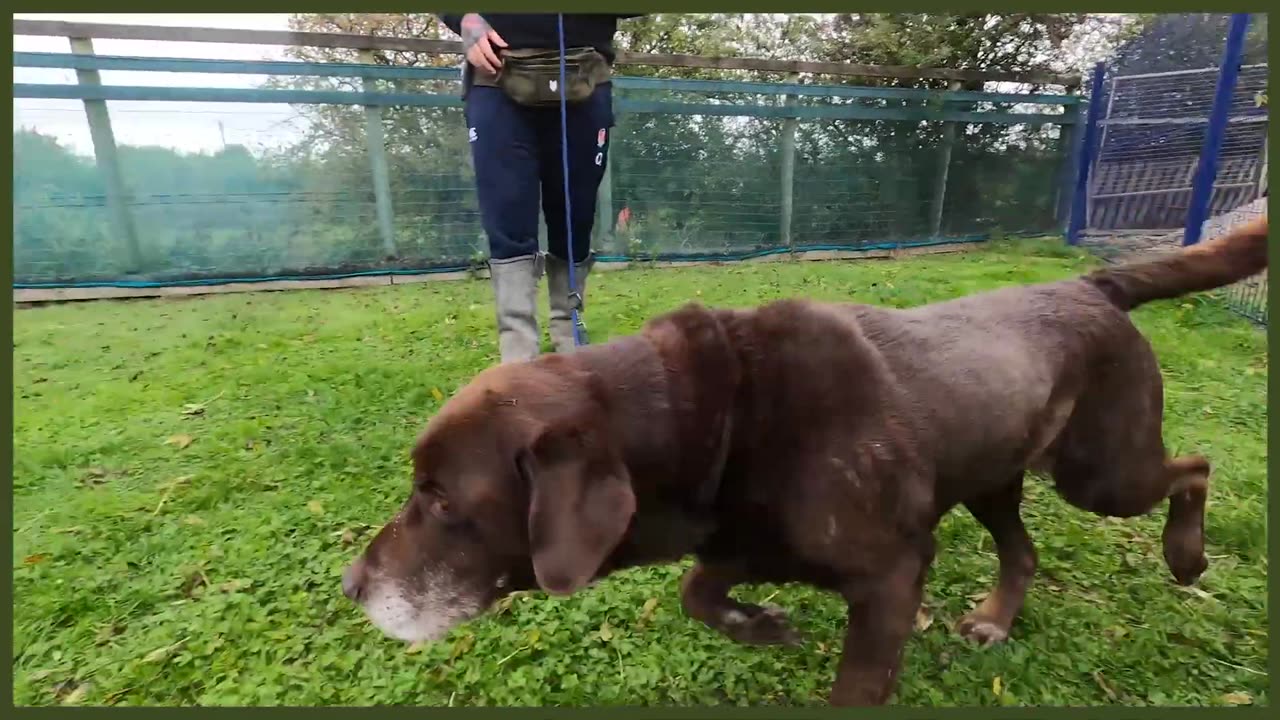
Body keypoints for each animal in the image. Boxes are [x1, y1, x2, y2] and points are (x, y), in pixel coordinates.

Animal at [343, 217, 1269, 702]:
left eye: (442, 500)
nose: (352, 585)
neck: (720, 419)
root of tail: (1090, 283)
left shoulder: (891, 577)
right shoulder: (743, 540)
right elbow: (695, 591)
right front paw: (760, 624)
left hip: (1101, 474)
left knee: (1195, 466)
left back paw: (1187, 556)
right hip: (995, 477)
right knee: (1025, 548)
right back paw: (999, 618)